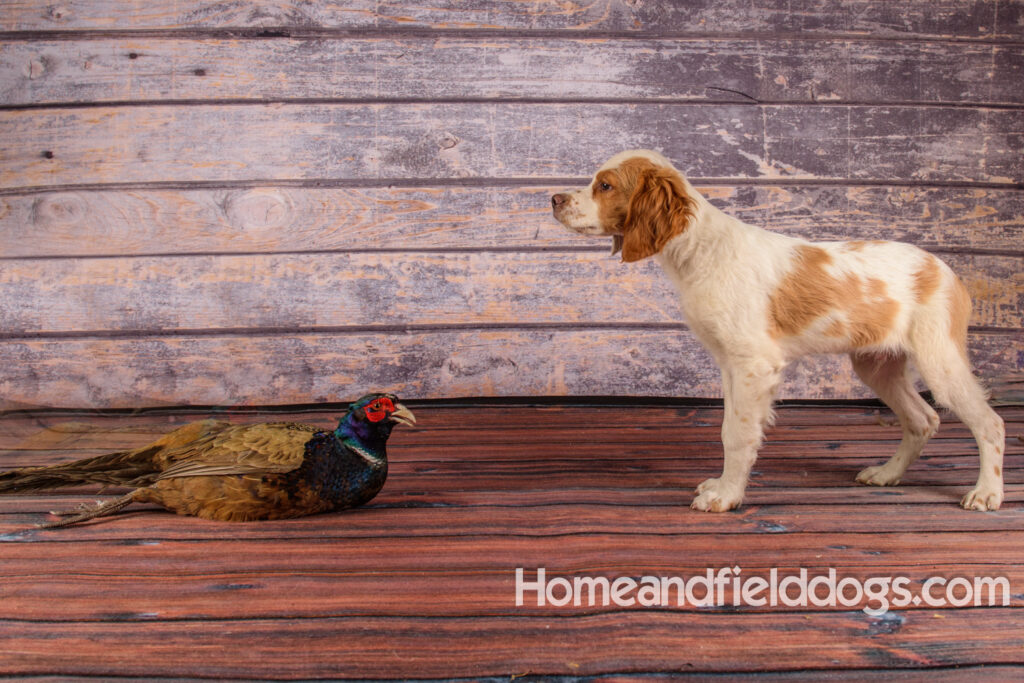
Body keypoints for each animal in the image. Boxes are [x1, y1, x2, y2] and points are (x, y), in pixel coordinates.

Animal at [548, 149, 1003, 511]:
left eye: (605, 185)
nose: (553, 199)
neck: (700, 250)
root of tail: (947, 270)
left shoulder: (754, 363)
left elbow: (738, 434)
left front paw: (726, 497)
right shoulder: (730, 364)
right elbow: (730, 428)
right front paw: (723, 485)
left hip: (940, 360)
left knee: (989, 423)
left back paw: (987, 493)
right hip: (877, 365)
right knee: (923, 419)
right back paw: (887, 474)